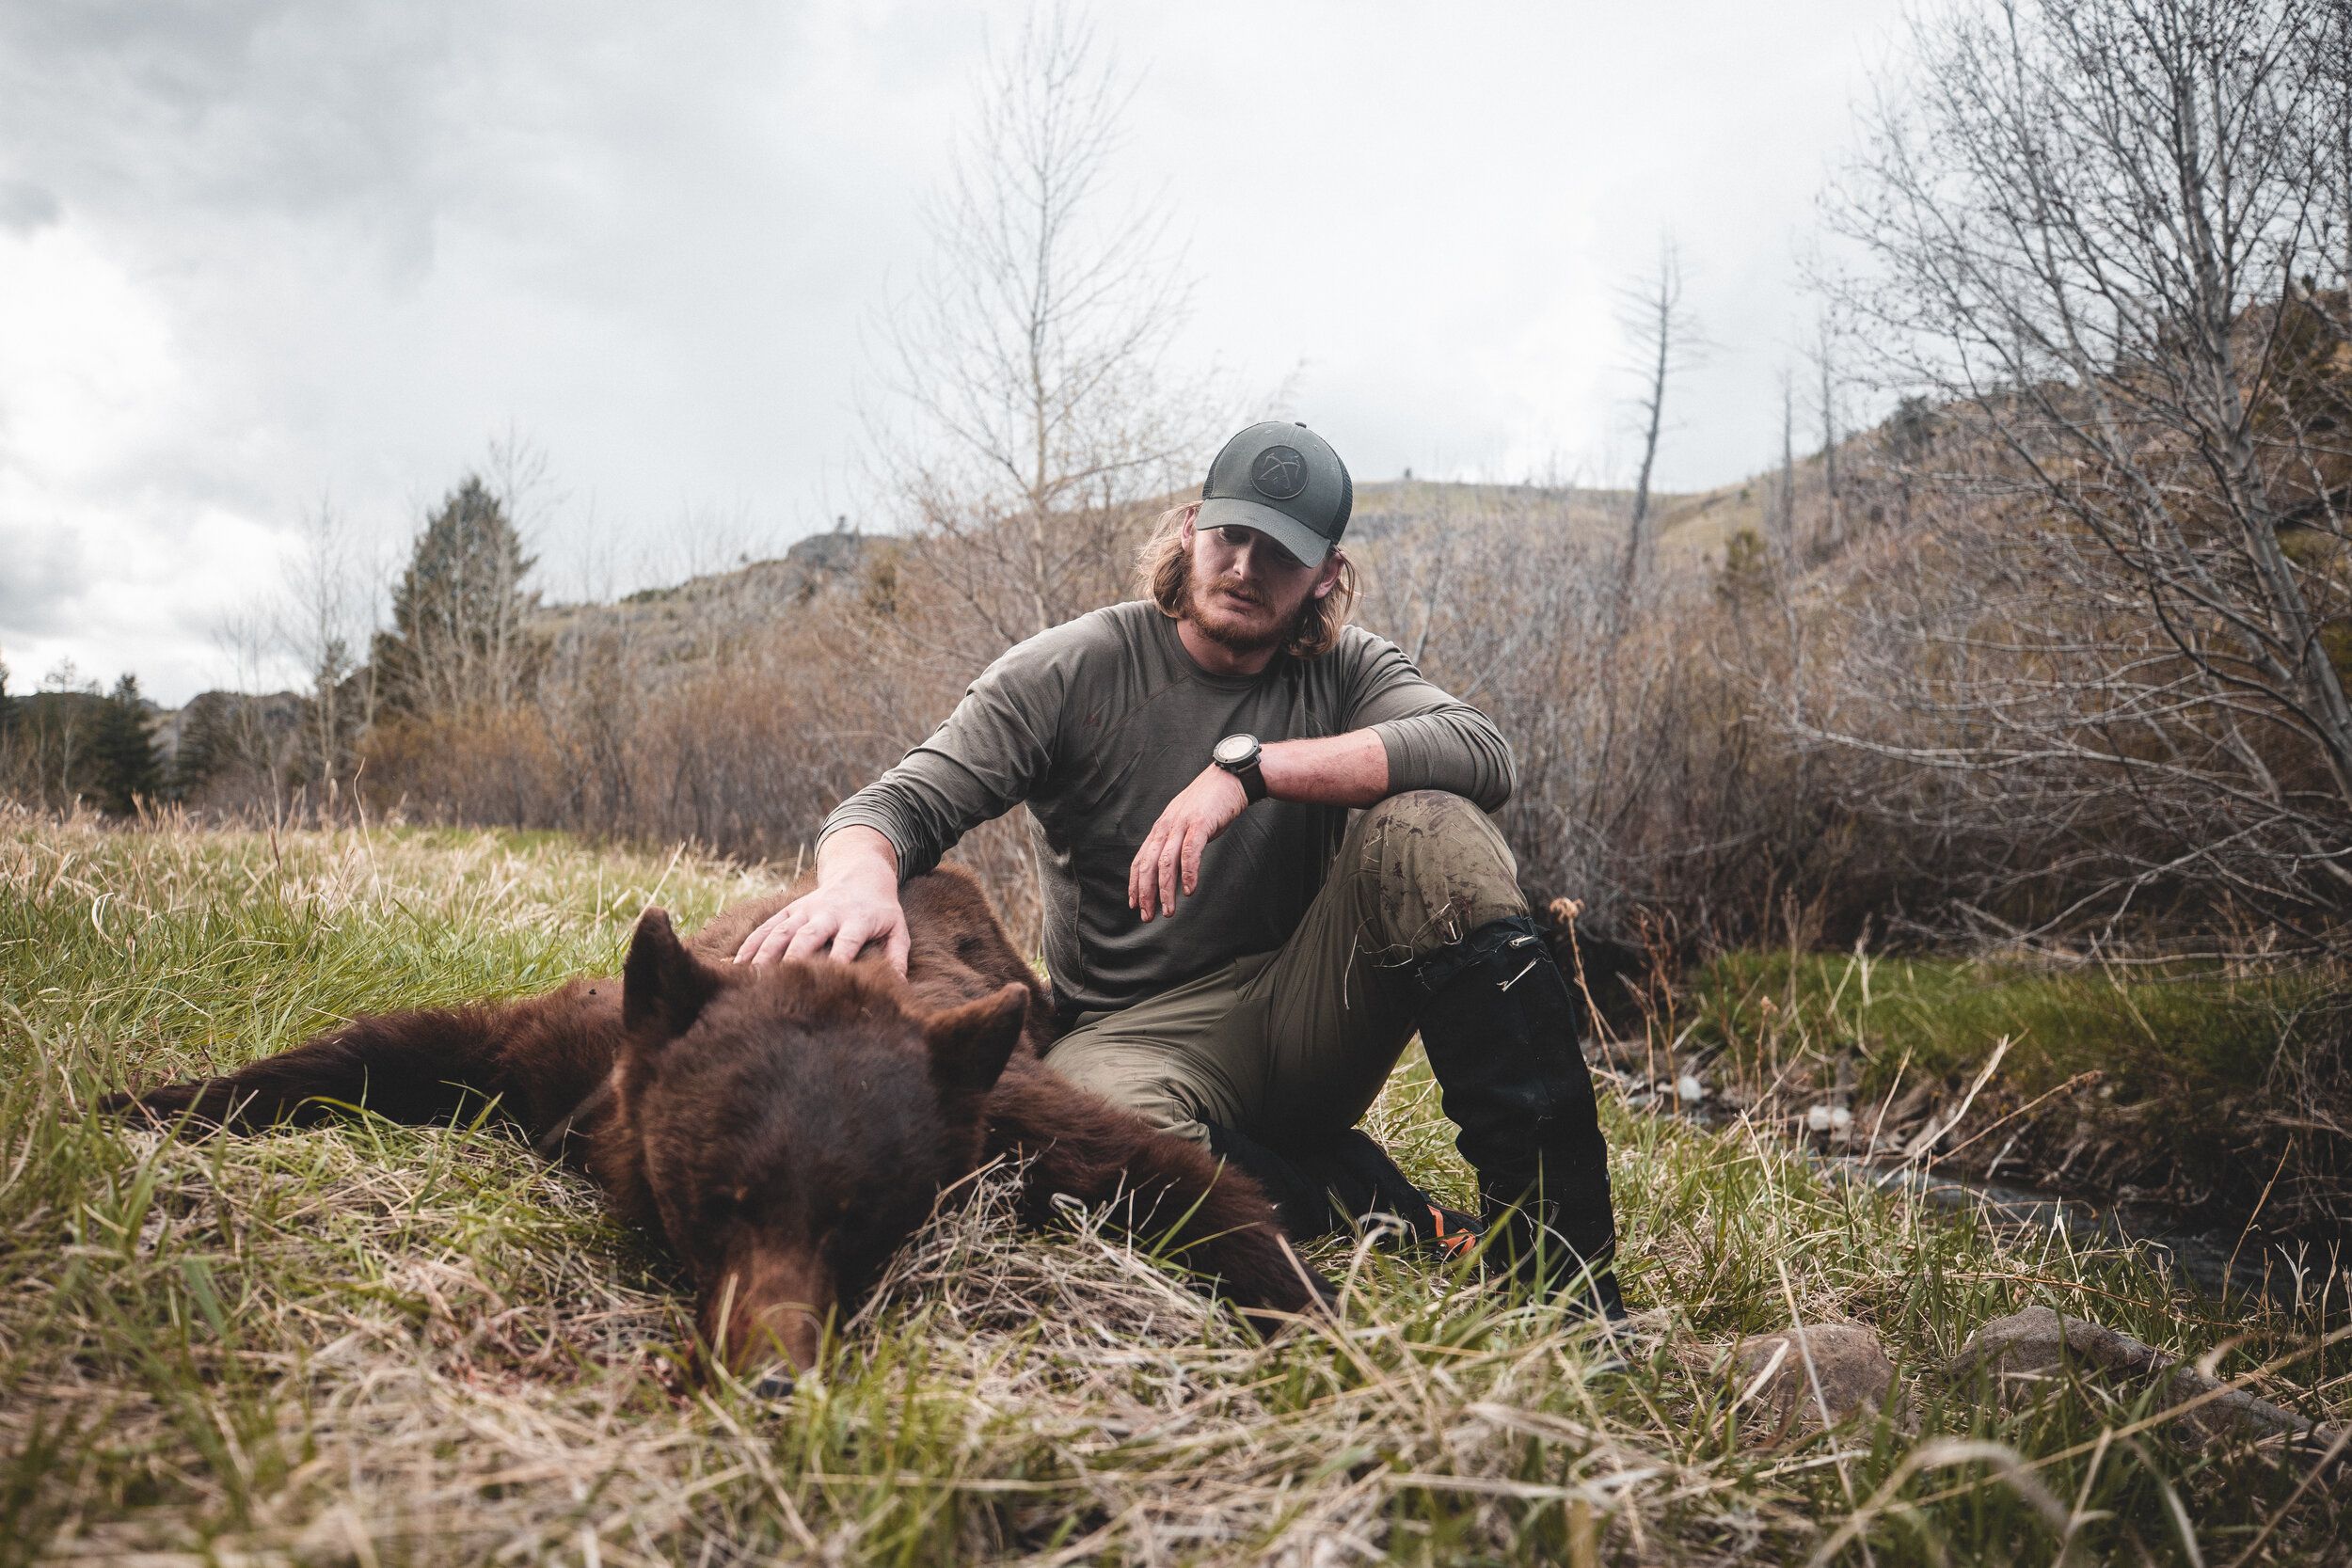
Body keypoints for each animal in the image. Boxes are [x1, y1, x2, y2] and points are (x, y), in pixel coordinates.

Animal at [101, 869, 1336, 1382]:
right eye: (717, 1198)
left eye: (862, 1222)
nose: (774, 1378)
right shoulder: (576, 1050)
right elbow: (401, 1044)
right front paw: (143, 1103)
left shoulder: (1004, 1113)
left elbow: (1171, 1174)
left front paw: (1315, 1316)